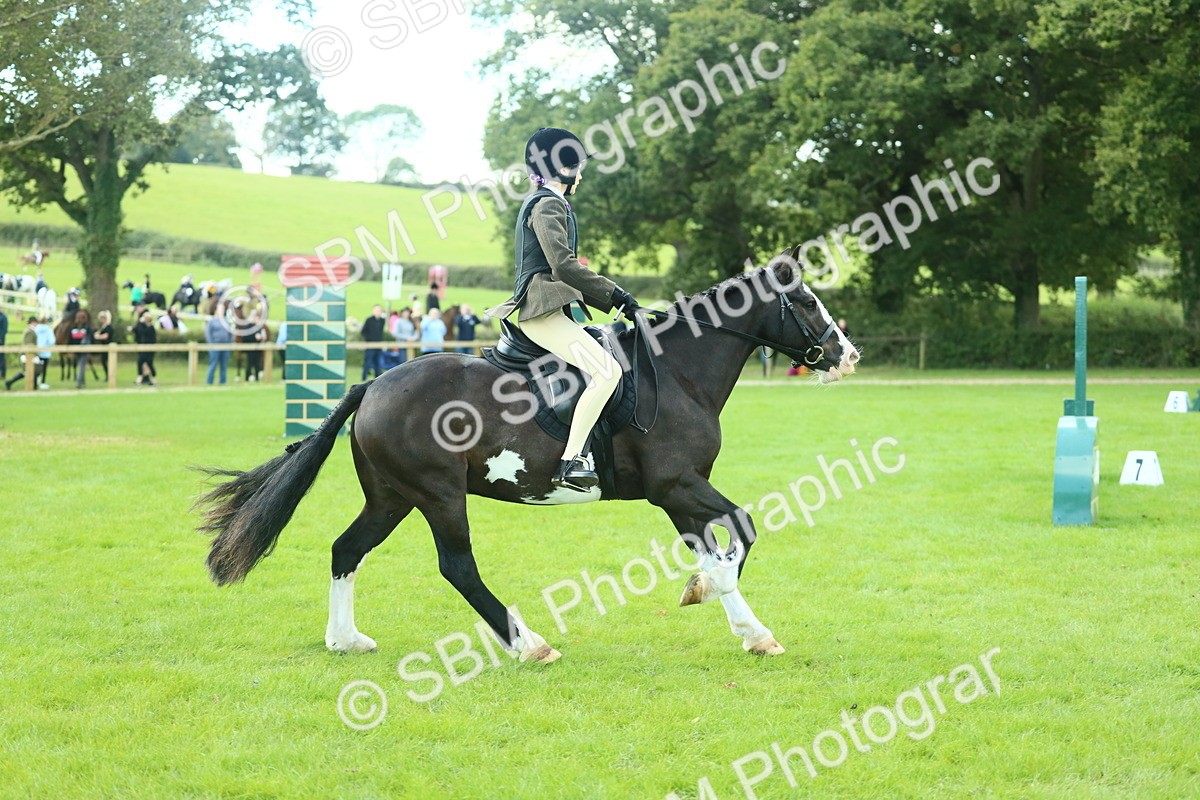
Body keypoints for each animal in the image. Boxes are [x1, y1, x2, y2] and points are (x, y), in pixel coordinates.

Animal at [195, 258, 860, 662]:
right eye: (805, 300)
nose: (846, 354)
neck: (675, 372)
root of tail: (375, 384)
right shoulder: (677, 484)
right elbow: (741, 531)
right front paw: (723, 604)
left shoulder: (680, 492)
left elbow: (717, 548)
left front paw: (739, 621)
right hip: (438, 495)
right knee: (457, 567)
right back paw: (529, 644)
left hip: (392, 496)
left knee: (346, 549)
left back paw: (346, 640)